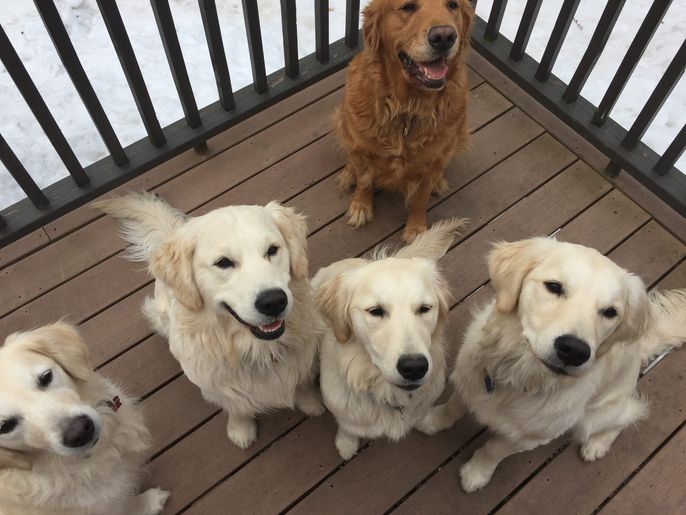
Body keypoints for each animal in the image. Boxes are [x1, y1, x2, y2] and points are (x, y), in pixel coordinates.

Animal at [94, 193, 324, 449]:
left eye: (272, 250)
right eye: (223, 262)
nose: (274, 301)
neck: (256, 350)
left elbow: (301, 381)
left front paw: (310, 401)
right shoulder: (215, 387)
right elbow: (236, 406)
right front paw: (240, 429)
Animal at [313, 217, 466, 459]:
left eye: (424, 308)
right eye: (375, 311)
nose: (414, 367)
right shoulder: (341, 407)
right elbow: (347, 426)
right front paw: (346, 443)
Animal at [335, 0, 474, 242]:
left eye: (453, 5)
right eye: (408, 7)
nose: (444, 37)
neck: (408, 108)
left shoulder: (431, 163)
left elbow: (421, 197)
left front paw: (416, 228)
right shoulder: (362, 150)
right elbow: (364, 181)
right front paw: (361, 206)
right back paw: (348, 172)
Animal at [422, 238, 686, 492]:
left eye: (611, 312)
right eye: (554, 286)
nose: (575, 351)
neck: (519, 375)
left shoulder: (528, 437)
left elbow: (493, 449)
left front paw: (476, 473)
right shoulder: (469, 380)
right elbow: (453, 407)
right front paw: (433, 421)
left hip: (594, 416)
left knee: (627, 415)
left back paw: (597, 445)